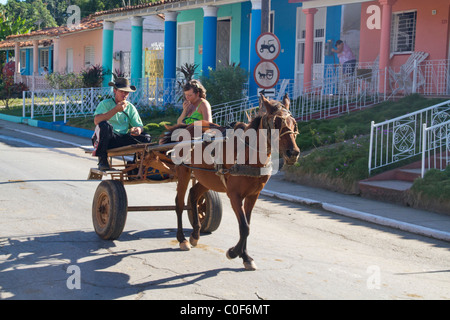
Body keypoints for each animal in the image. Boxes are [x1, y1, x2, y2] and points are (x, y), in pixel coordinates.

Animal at [160, 93, 300, 270]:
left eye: (294, 123)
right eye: (276, 123)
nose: (292, 153)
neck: (248, 155)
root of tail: (187, 126)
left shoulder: (253, 195)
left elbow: (247, 225)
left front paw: (245, 256)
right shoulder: (234, 195)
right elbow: (244, 227)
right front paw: (234, 252)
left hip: (207, 178)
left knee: (193, 195)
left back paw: (195, 234)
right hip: (184, 171)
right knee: (179, 203)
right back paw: (182, 239)